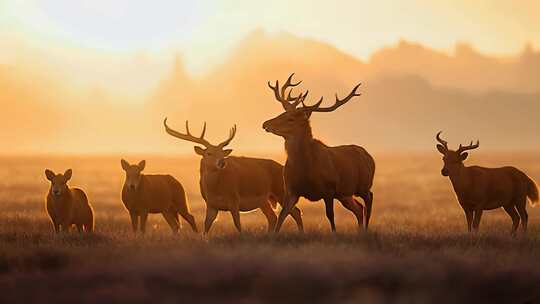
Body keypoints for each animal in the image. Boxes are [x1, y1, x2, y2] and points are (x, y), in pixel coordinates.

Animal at [162, 117, 304, 234]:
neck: (215, 189)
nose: (222, 162)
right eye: (208, 153)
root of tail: (282, 167)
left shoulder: (234, 199)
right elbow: (206, 226)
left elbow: (237, 225)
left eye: (222, 153)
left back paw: (300, 233)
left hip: (281, 190)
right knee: (273, 217)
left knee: (295, 212)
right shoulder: (211, 204)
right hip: (264, 200)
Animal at [262, 73, 374, 233]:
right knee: (358, 208)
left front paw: (334, 234)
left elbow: (330, 216)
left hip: (363, 184)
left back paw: (365, 229)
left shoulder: (329, 189)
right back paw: (359, 231)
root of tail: (369, 156)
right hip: (344, 194)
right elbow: (283, 215)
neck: (305, 168)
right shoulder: (291, 190)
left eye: (290, 119)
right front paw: (274, 235)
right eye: (282, 112)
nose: (265, 124)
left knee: (369, 199)